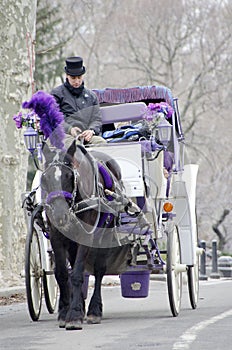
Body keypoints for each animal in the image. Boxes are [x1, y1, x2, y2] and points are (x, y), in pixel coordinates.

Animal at [40, 141, 132, 330]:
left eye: (69, 176)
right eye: (44, 178)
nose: (60, 215)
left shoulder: (85, 236)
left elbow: (77, 273)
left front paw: (74, 314)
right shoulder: (56, 236)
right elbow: (62, 273)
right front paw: (65, 312)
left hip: (104, 235)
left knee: (99, 270)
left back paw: (94, 310)